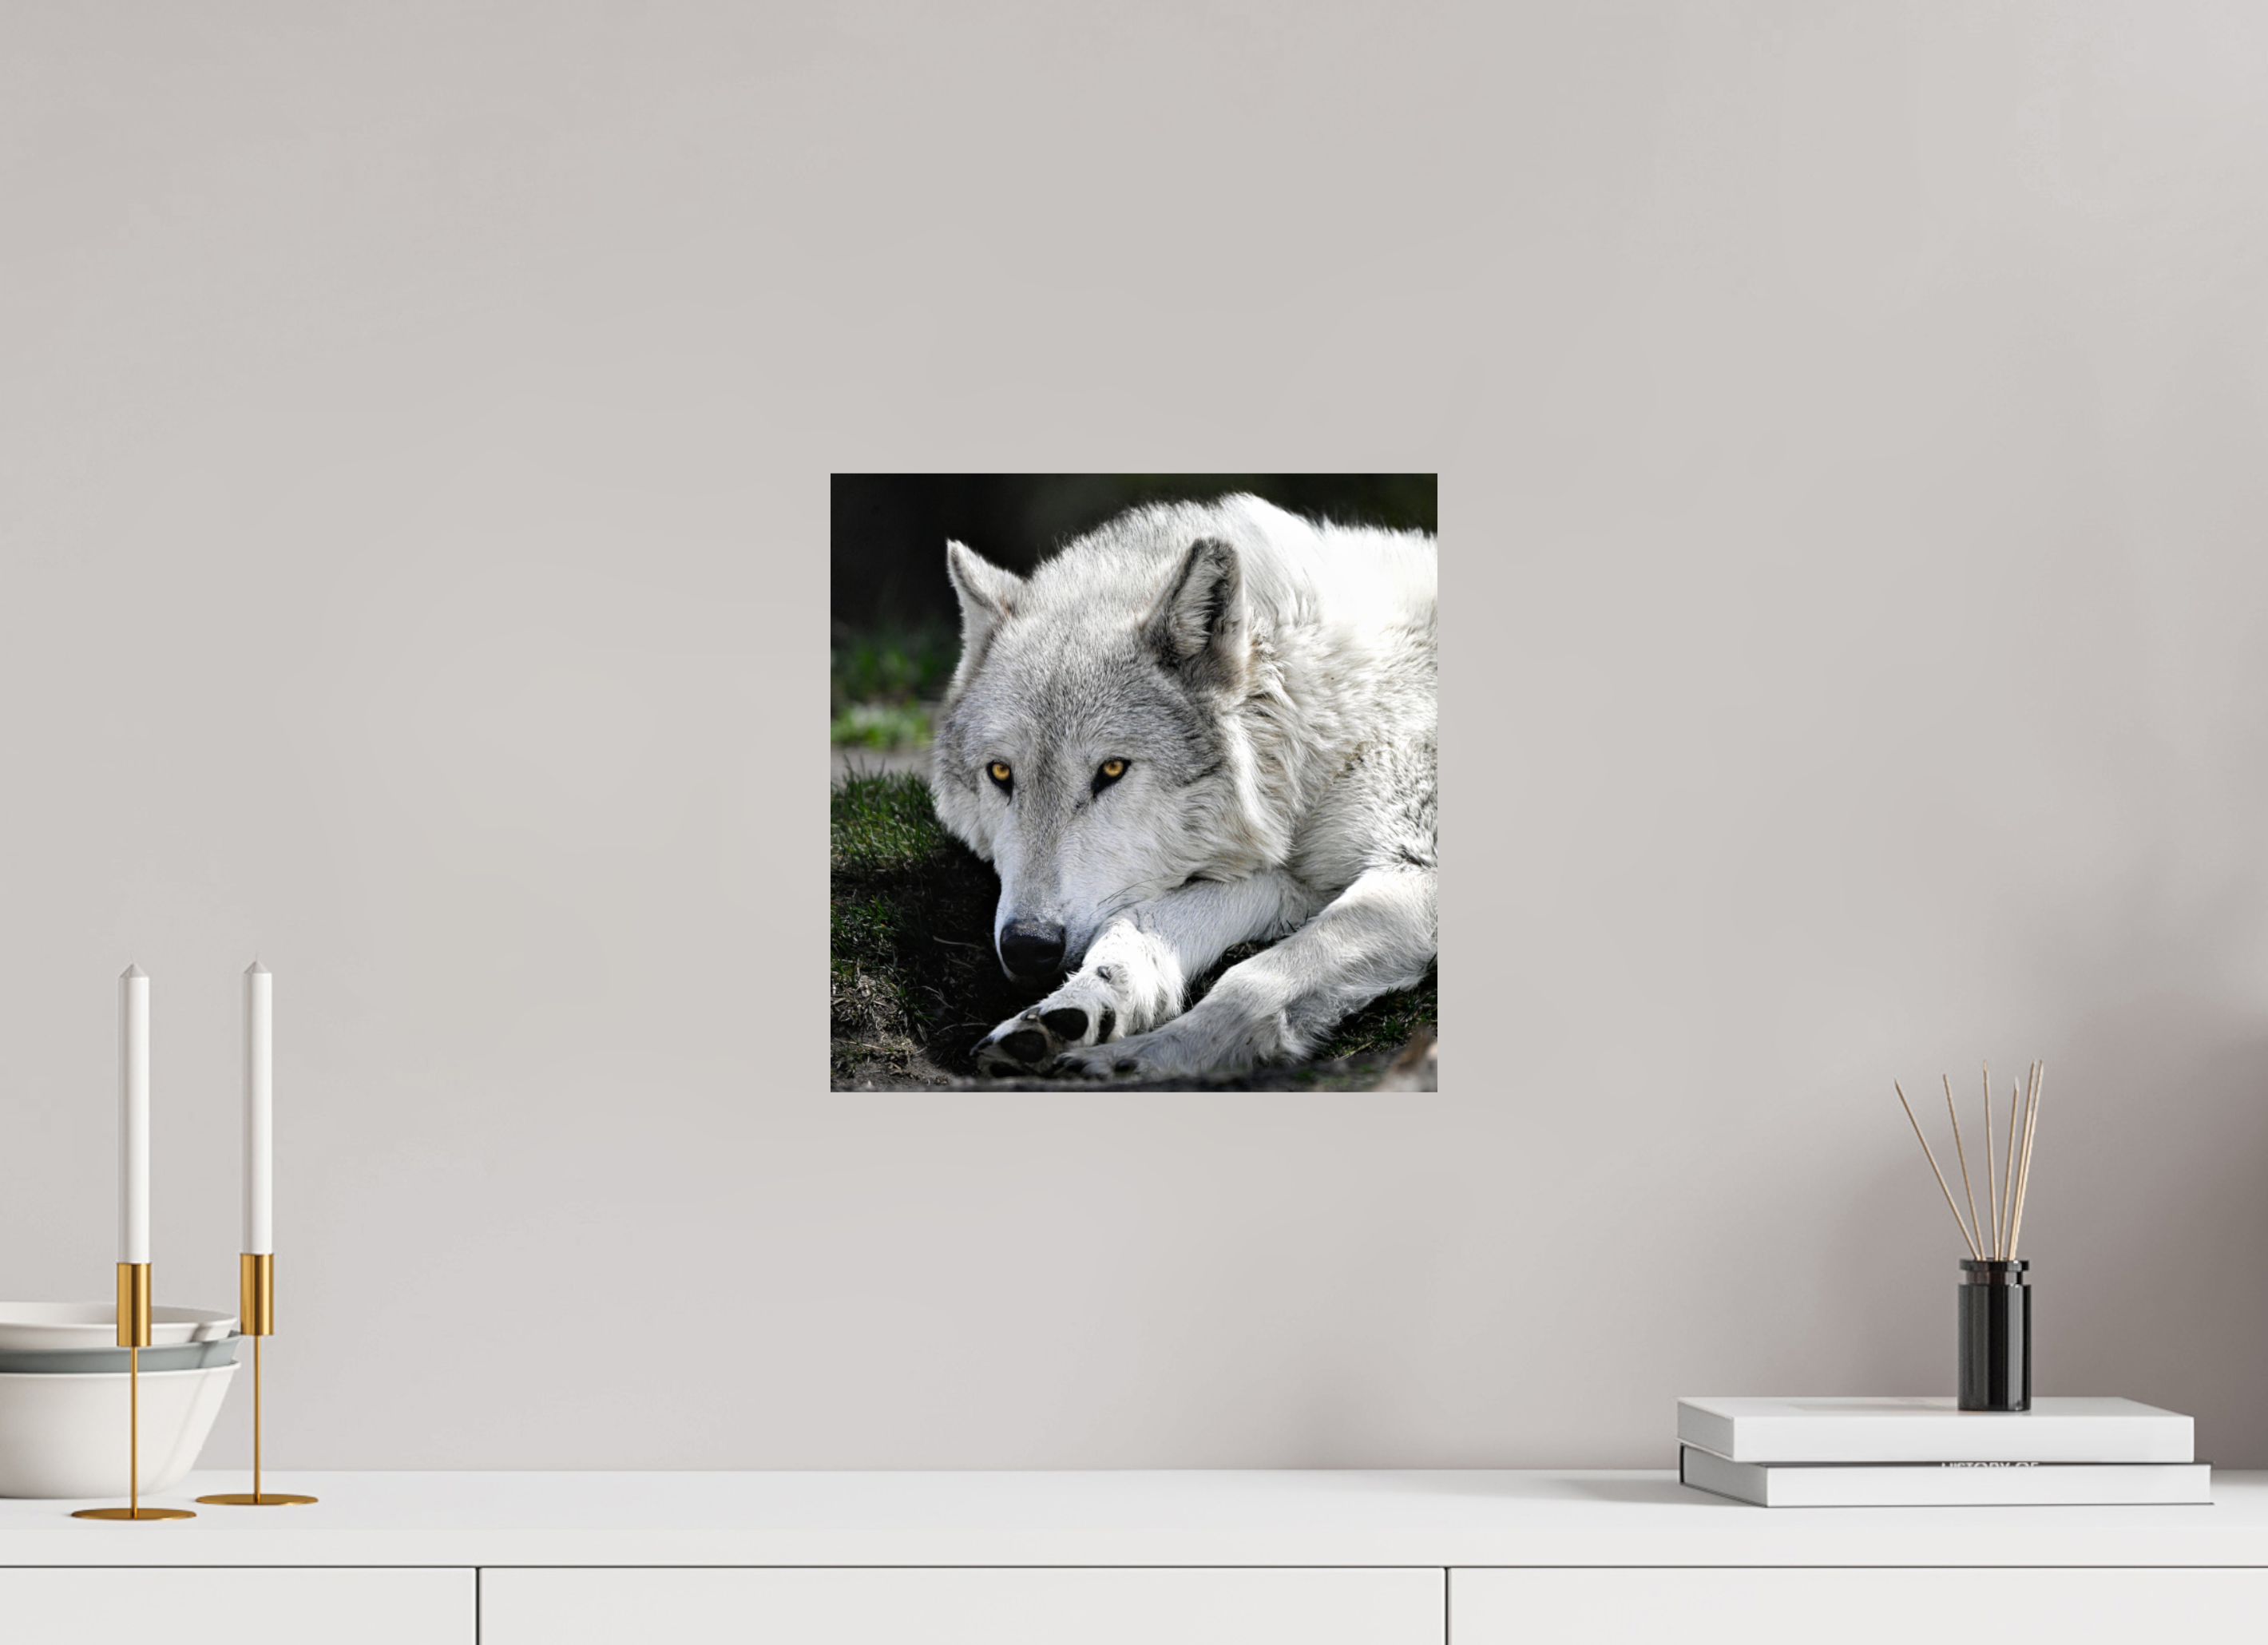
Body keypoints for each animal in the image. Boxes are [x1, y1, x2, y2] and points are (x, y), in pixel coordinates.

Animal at [930, 494, 1436, 1081]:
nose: (1026, 947)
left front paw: (1141, 1060)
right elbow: (1134, 923)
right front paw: (1077, 1008)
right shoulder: (1295, 882)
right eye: (1001, 774)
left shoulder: (1415, 871)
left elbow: (1254, 978)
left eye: (1112, 770)